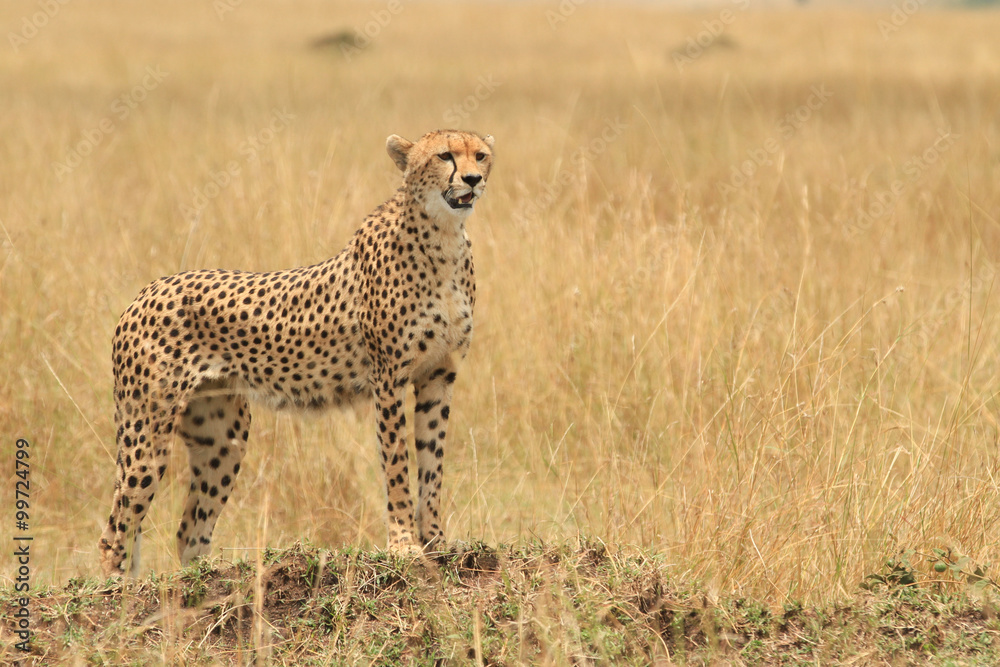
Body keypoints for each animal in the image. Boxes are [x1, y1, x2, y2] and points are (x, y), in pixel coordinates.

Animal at [97, 129, 496, 576]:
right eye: (445, 156)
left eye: (481, 155)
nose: (474, 178)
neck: (444, 237)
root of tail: (145, 292)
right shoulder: (389, 379)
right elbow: (396, 463)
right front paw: (404, 547)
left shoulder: (438, 376)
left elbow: (432, 463)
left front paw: (437, 543)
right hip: (147, 433)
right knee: (116, 530)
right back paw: (120, 588)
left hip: (222, 438)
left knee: (188, 530)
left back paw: (204, 578)